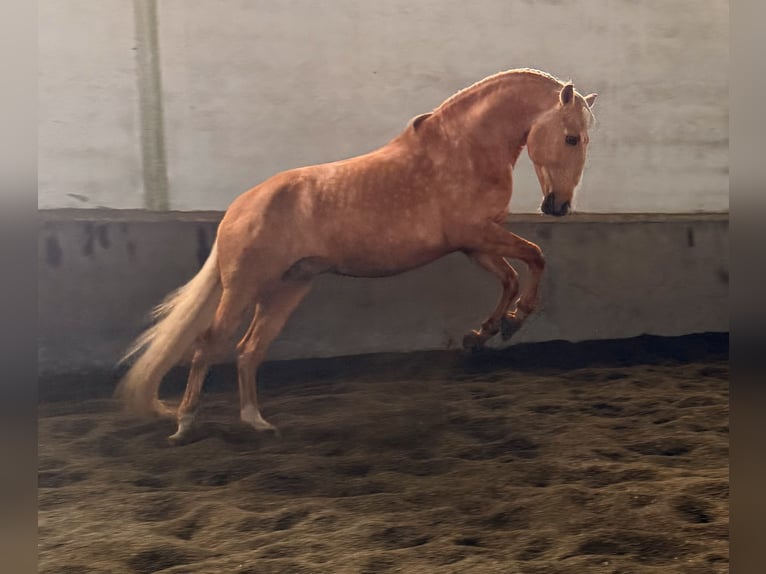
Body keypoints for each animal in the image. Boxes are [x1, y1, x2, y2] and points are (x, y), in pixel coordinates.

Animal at [117, 68, 600, 446]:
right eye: (571, 138)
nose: (559, 206)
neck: (464, 150)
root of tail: (238, 208)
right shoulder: (476, 235)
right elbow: (536, 258)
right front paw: (510, 323)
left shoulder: (475, 245)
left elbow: (513, 277)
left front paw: (484, 332)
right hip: (244, 287)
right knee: (207, 344)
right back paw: (185, 424)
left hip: (288, 288)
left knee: (248, 350)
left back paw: (257, 423)